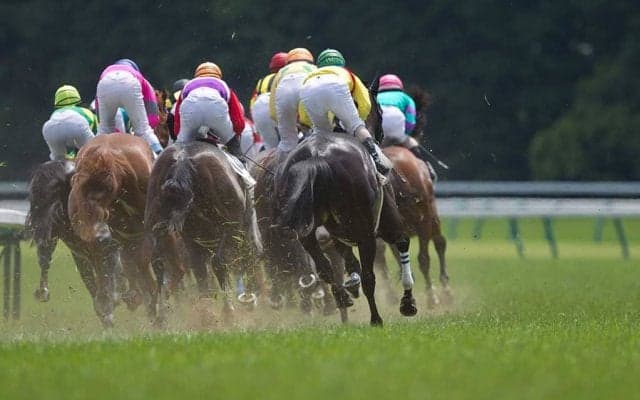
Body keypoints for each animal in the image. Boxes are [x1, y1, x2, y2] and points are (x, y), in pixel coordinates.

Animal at [145, 141, 263, 326]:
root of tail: (183, 160)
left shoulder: (192, 240)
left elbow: (200, 271)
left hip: (158, 227)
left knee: (159, 263)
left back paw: (162, 316)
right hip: (229, 229)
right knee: (219, 262)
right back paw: (228, 311)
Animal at [274, 131, 418, 326]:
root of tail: (316, 155)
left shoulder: (338, 235)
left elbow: (346, 261)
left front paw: (351, 285)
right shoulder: (386, 225)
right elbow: (402, 243)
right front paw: (408, 303)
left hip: (308, 233)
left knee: (324, 268)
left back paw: (342, 297)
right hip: (367, 233)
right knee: (368, 277)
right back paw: (375, 318)